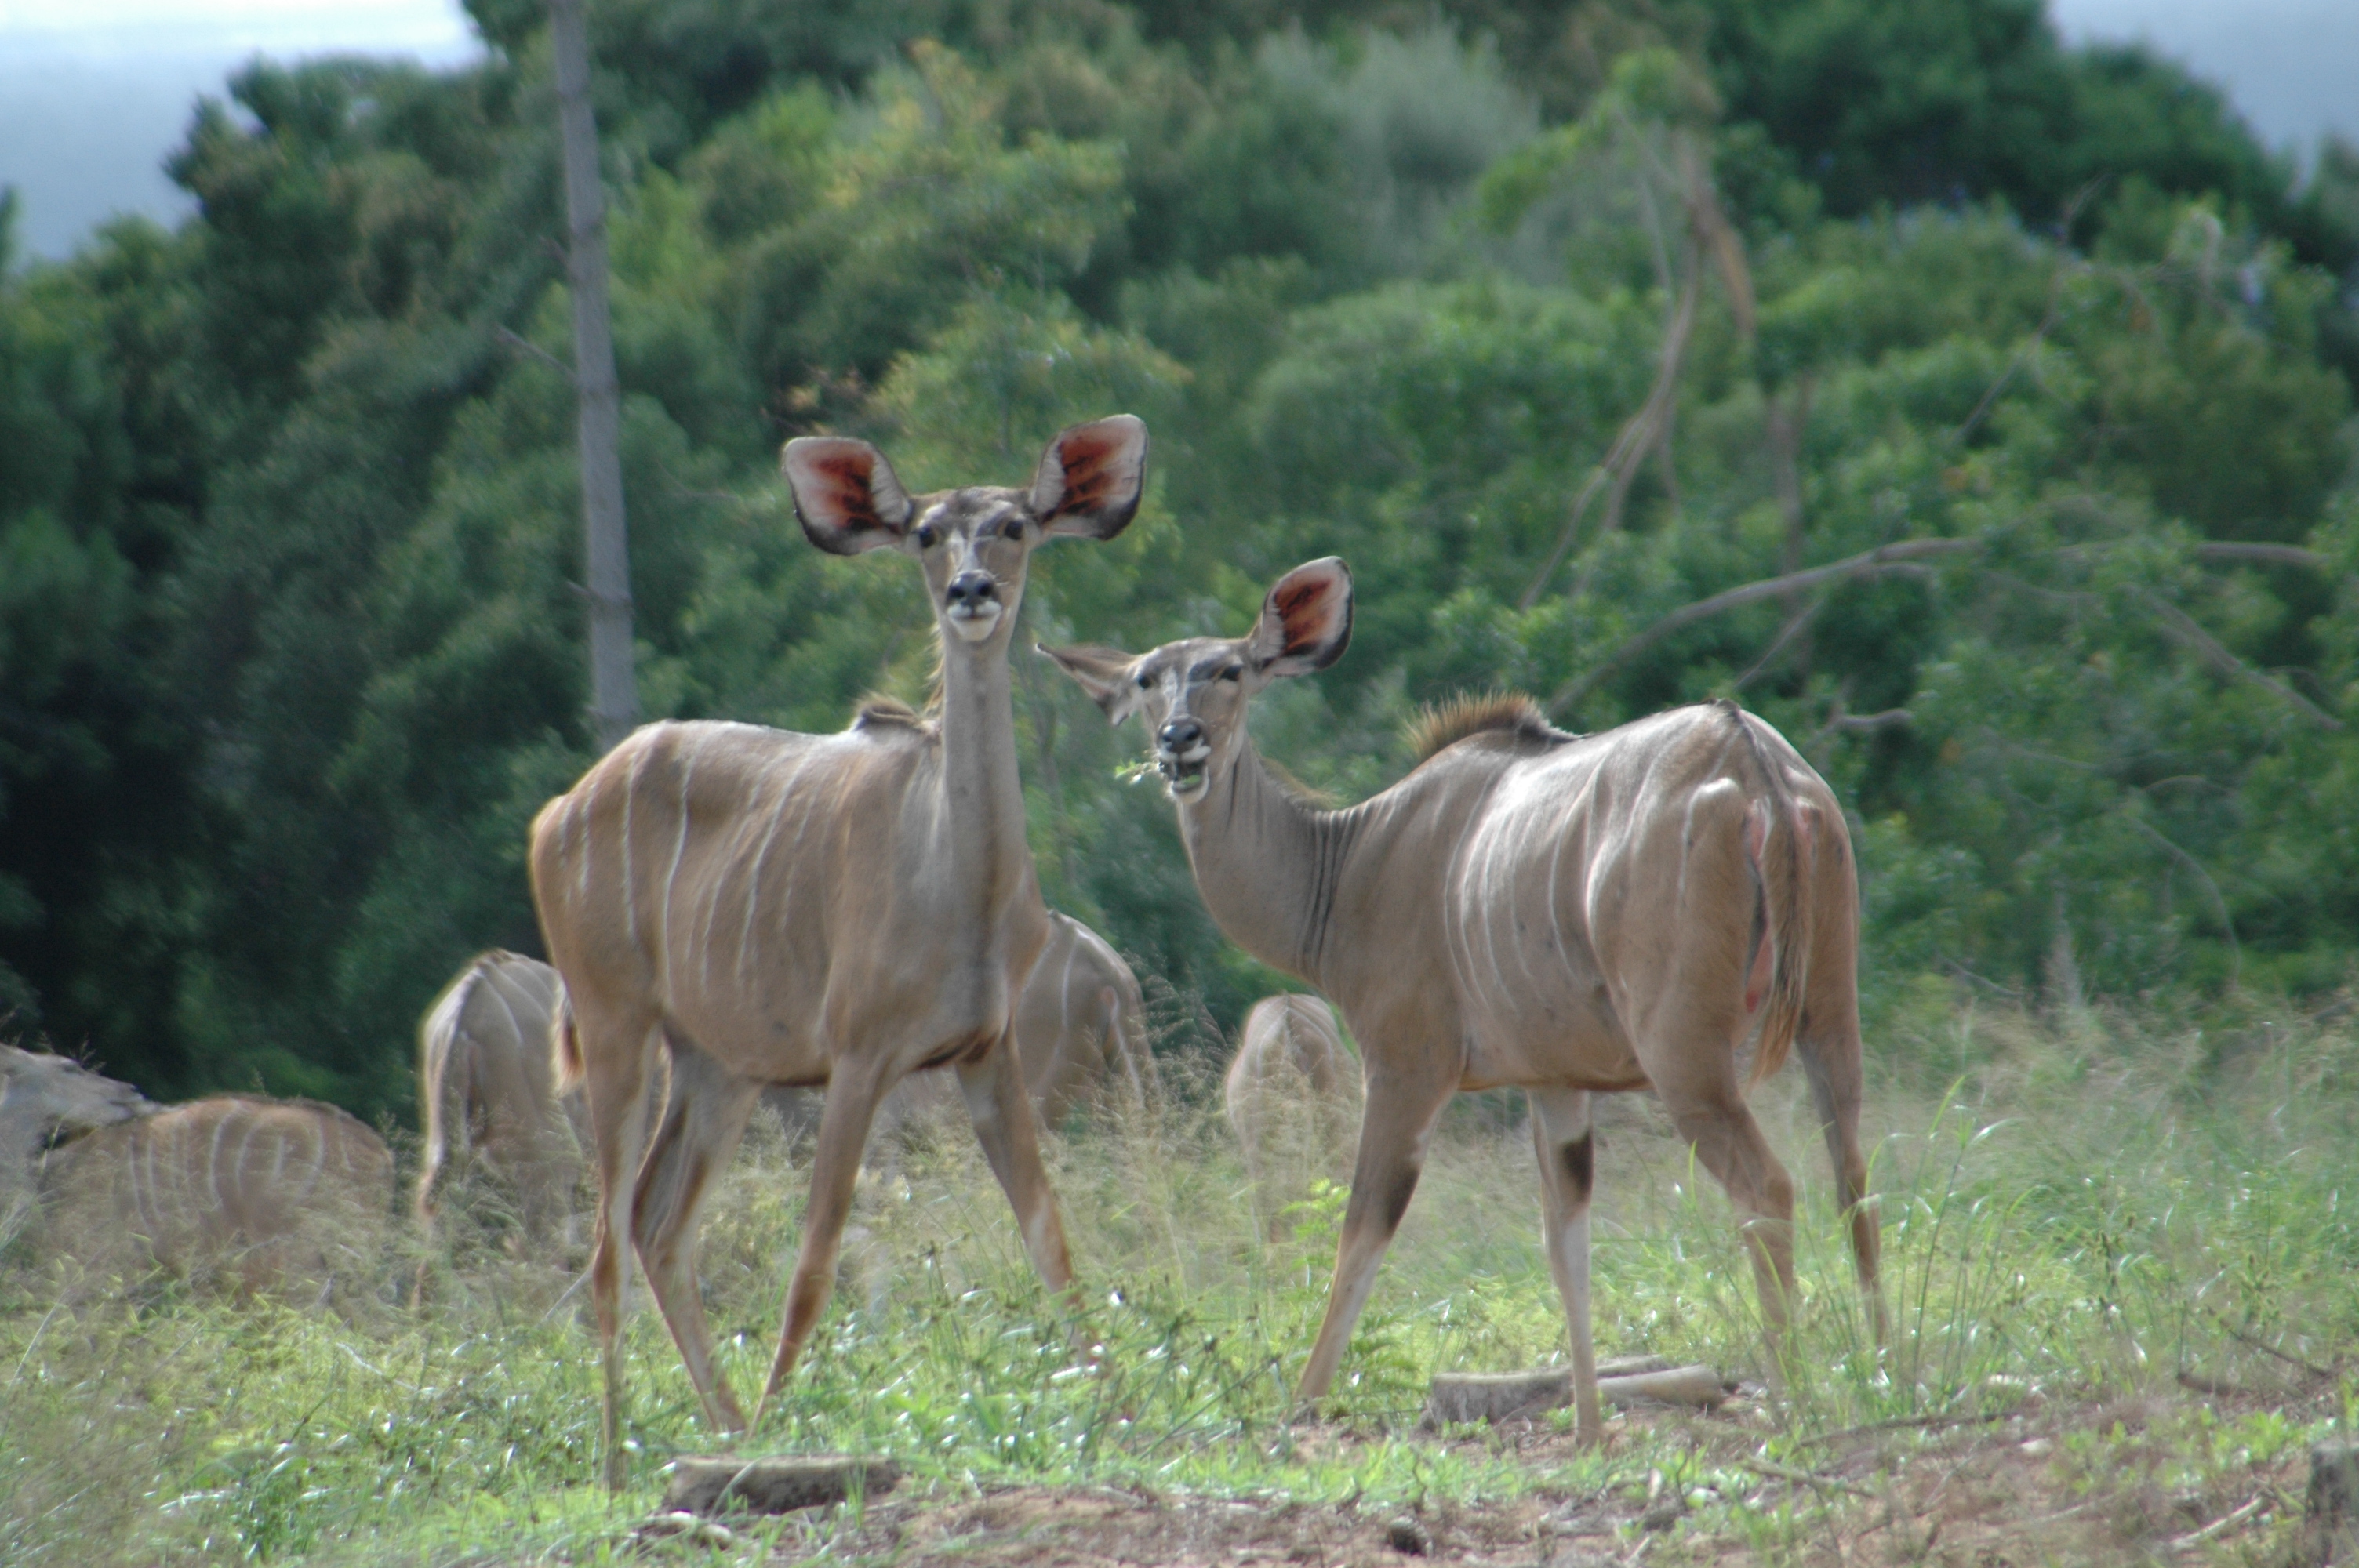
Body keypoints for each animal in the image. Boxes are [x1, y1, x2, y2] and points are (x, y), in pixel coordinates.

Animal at [537, 410, 1160, 1471]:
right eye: (925, 533)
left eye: (1014, 526)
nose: (970, 591)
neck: (960, 884)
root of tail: (555, 814)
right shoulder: (860, 1053)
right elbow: (815, 1256)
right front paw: (787, 1415)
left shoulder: (986, 1052)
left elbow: (1053, 1240)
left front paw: (1124, 1415)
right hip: (616, 1019)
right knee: (609, 1240)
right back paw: (622, 1459)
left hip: (717, 1062)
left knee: (658, 1220)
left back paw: (723, 1424)